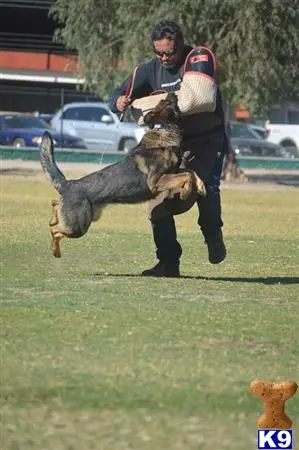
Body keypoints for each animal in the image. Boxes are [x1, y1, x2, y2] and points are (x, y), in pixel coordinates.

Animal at [40, 93, 206, 258]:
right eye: (165, 102)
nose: (173, 93)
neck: (163, 129)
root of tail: (68, 184)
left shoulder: (171, 173)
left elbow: (191, 172)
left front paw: (201, 186)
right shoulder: (156, 181)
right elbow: (186, 176)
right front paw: (186, 192)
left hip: (88, 217)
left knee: (55, 204)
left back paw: (52, 220)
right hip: (78, 226)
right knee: (55, 231)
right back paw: (55, 251)